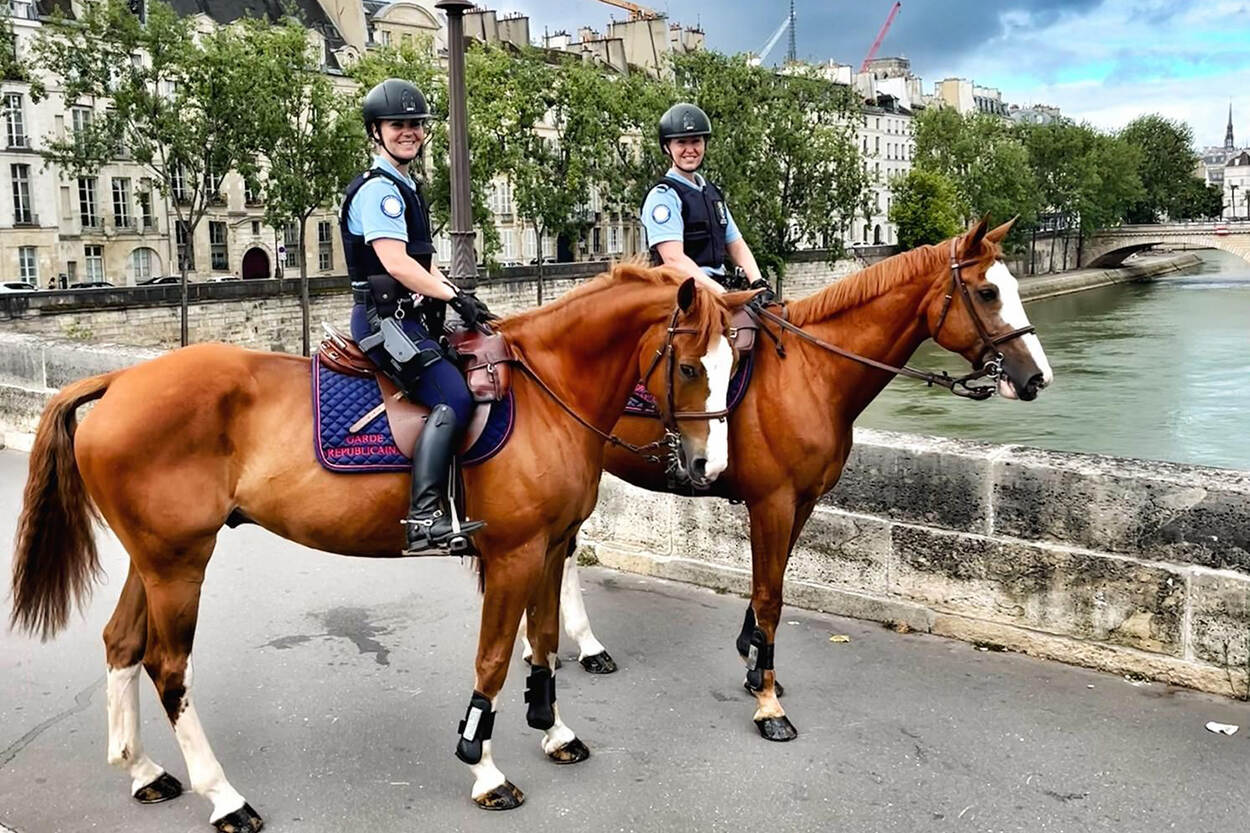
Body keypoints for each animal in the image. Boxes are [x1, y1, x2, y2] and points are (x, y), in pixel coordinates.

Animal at [8, 263, 754, 828]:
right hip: (178, 564)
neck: (549, 389)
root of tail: (119, 382)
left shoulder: (550, 548)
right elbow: (492, 661)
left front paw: (553, 728)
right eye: (690, 367)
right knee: (168, 667)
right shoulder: (513, 555)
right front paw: (484, 768)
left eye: (732, 364)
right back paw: (223, 796)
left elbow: (542, 641)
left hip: (157, 559)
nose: (709, 466)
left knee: (122, 643)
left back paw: (141, 769)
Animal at [559, 219, 1052, 740]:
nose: (1037, 376)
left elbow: (770, 587)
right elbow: (770, 597)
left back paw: (584, 647)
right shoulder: (771, 503)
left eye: (1011, 285)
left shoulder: (802, 502)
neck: (812, 372)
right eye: (987, 291)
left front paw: (755, 664)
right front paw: (768, 704)